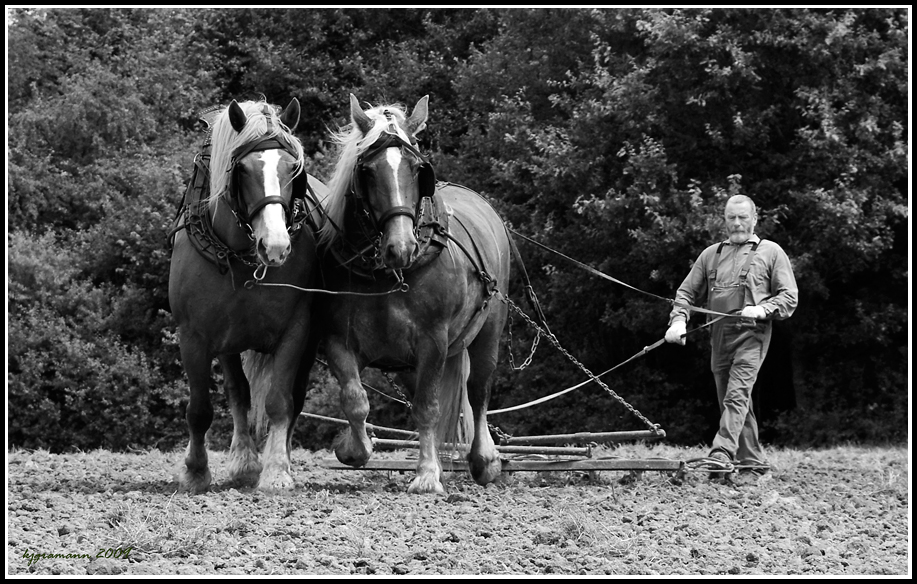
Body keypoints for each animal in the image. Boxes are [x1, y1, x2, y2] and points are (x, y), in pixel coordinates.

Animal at [170, 98, 324, 490]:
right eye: (242, 170)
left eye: (293, 170)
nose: (276, 246)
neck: (243, 258)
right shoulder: (193, 335)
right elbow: (200, 408)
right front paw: (195, 470)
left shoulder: (297, 330)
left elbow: (280, 401)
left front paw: (277, 472)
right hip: (228, 340)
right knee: (237, 391)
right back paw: (243, 460)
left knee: (293, 395)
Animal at [314, 94, 512, 492]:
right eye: (367, 171)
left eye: (419, 169)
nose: (401, 246)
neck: (388, 273)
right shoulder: (338, 339)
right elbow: (355, 399)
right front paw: (353, 448)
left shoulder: (434, 340)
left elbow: (428, 407)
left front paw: (426, 475)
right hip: (408, 362)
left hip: (488, 331)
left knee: (478, 390)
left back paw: (485, 460)